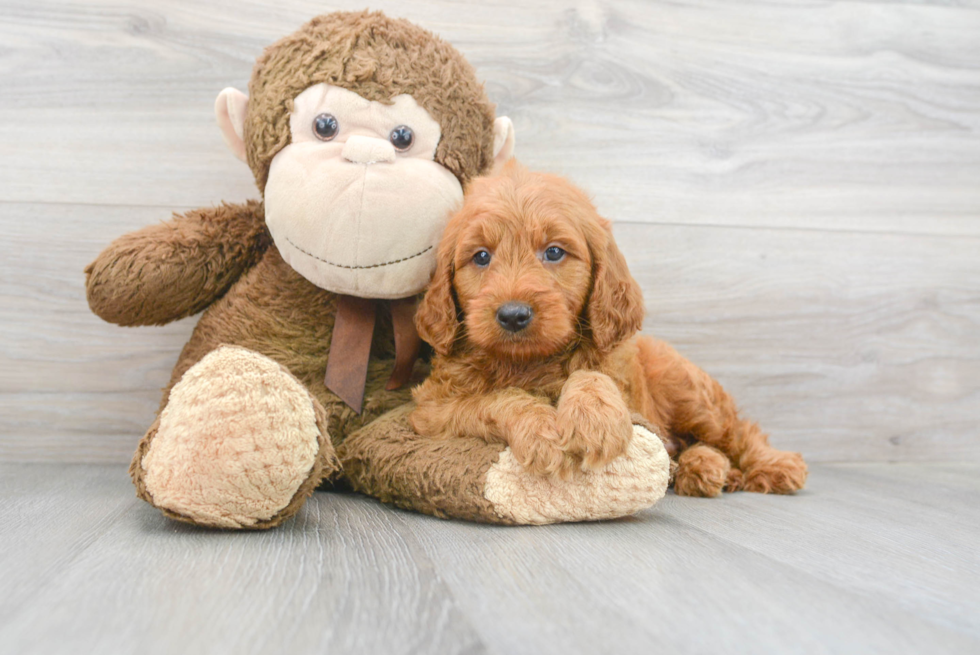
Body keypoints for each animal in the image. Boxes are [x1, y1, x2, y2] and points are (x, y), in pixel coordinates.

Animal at [410, 160, 808, 498]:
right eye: (481, 256)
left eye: (554, 252)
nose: (513, 315)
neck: (528, 362)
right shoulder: (432, 408)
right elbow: (492, 400)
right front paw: (540, 430)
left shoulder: (618, 374)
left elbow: (591, 374)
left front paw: (594, 421)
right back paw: (706, 468)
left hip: (690, 394)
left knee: (737, 432)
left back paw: (774, 466)